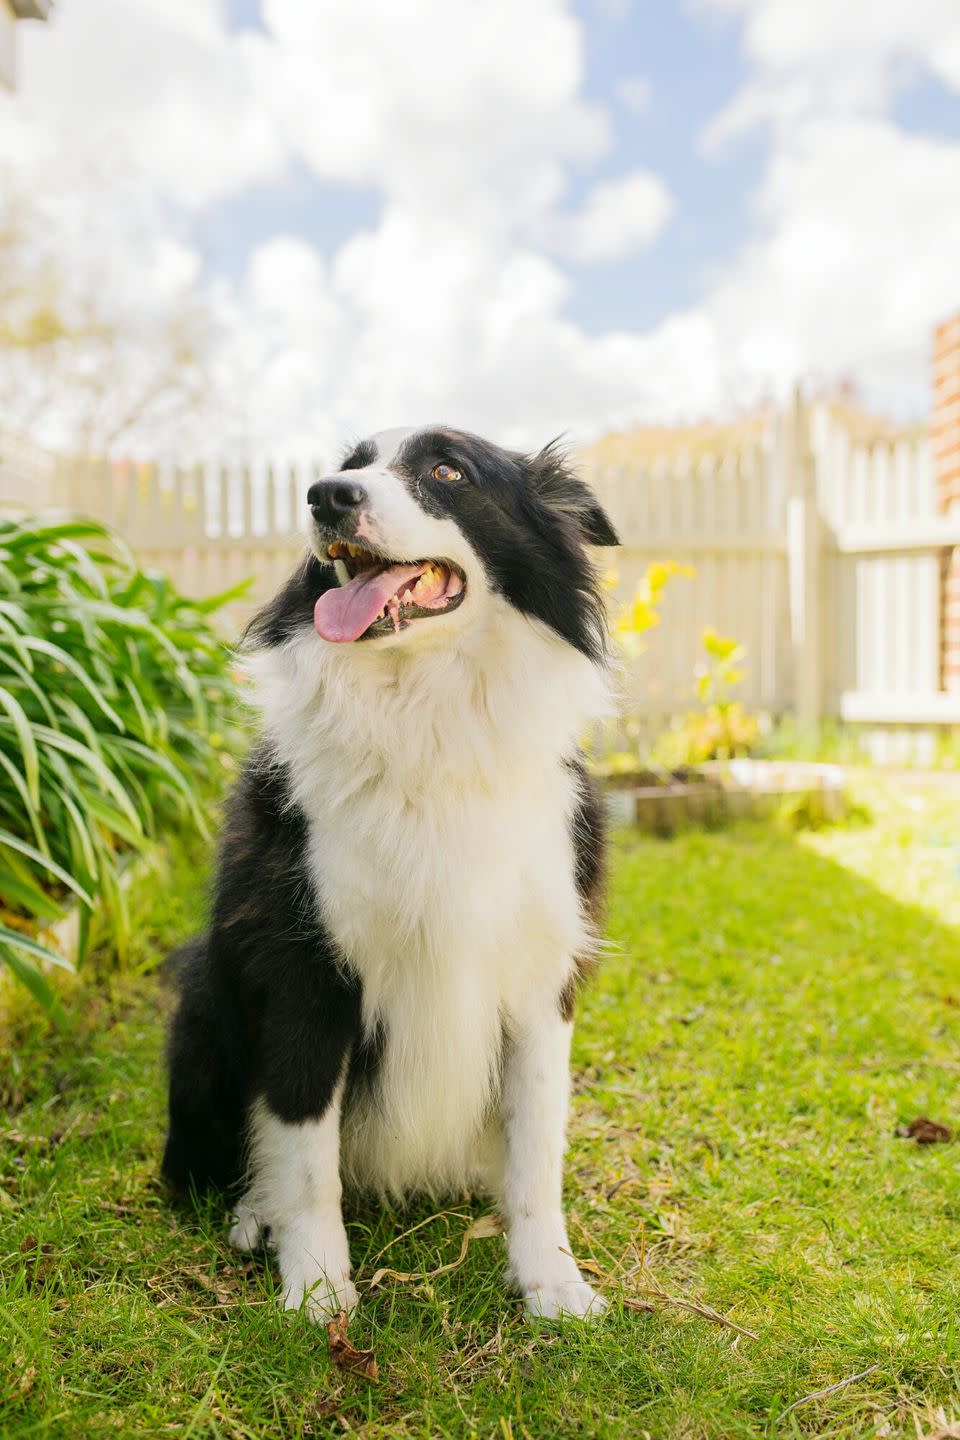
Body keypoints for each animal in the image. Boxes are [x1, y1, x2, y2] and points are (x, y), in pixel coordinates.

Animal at [162, 423, 618, 1319]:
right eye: (353, 464)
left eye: (448, 470)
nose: (325, 495)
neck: (427, 711)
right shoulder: (304, 966)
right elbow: (306, 1152)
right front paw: (316, 1289)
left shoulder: (541, 977)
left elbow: (536, 1152)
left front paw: (551, 1280)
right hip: (204, 997)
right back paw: (256, 1214)